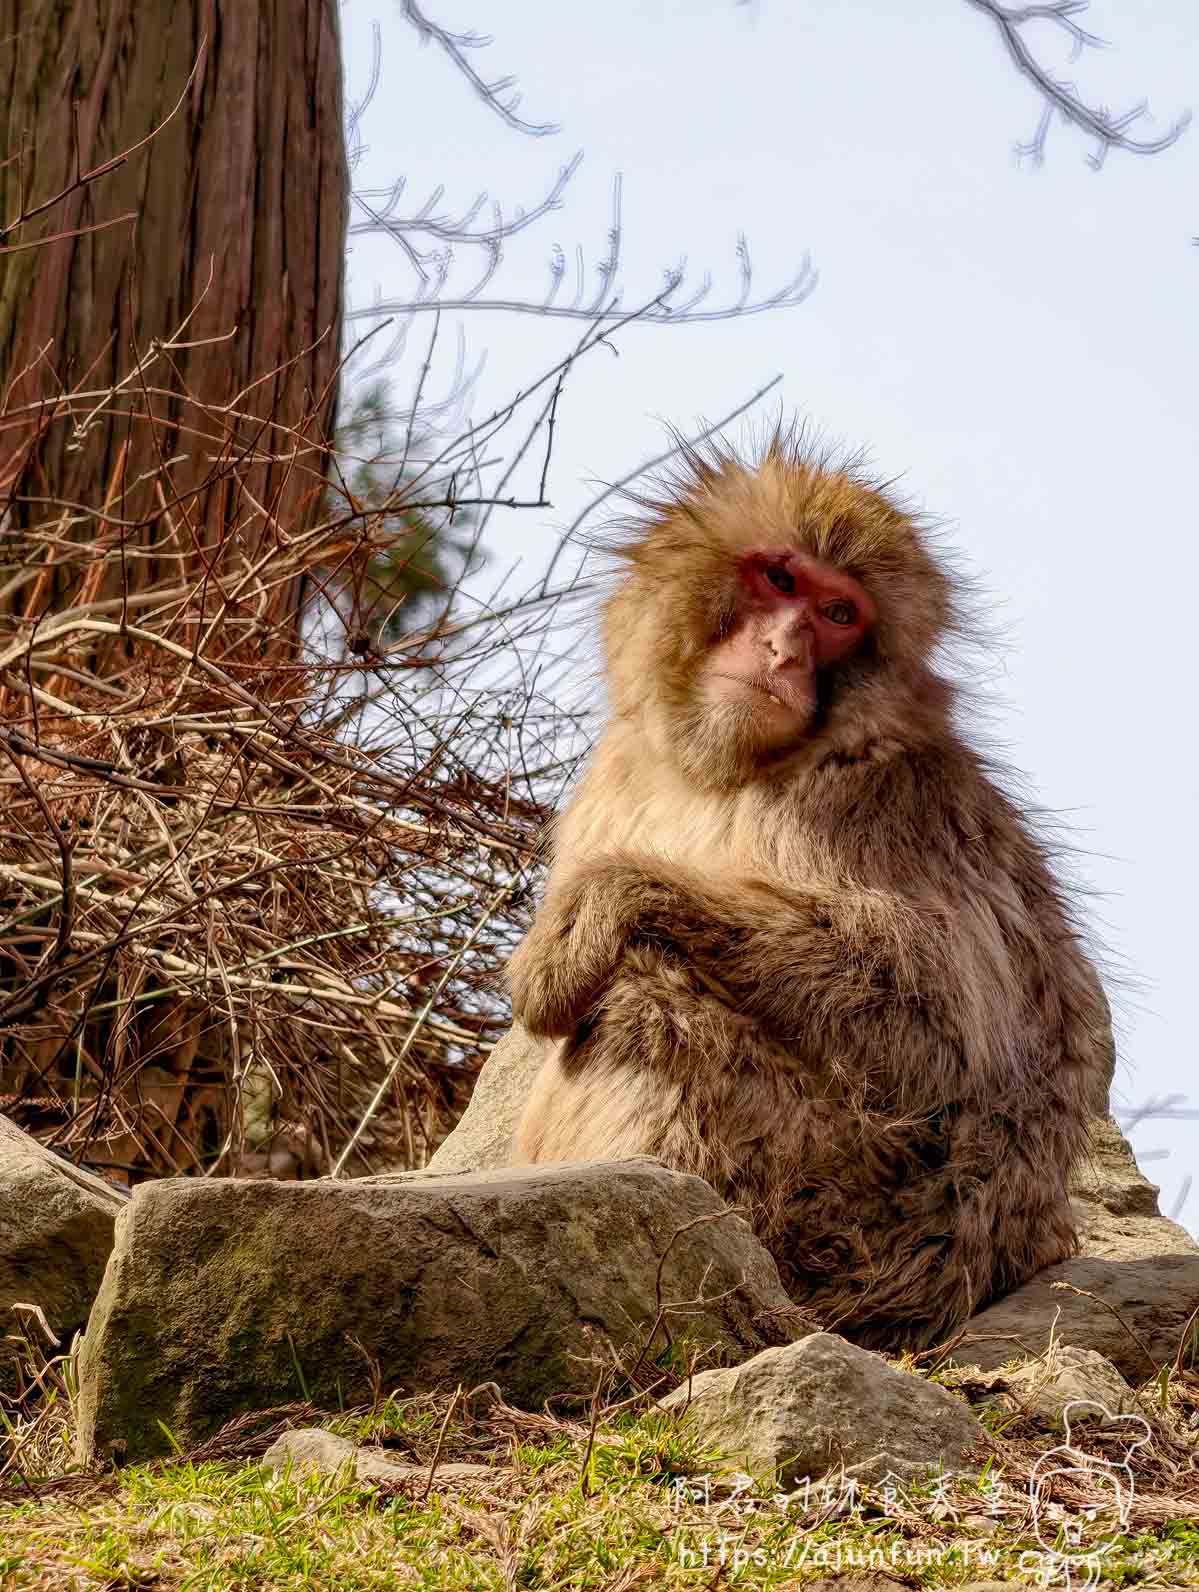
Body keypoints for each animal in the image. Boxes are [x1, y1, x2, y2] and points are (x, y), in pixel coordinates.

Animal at [505, 432, 1113, 1351]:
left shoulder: (875, 802)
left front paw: (588, 914)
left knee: (650, 995)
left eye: (838, 616)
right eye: (781, 581)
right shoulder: (613, 773)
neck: (726, 768)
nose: (784, 652)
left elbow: (935, 1030)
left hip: (838, 1207)